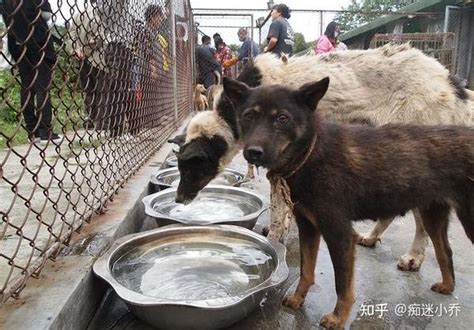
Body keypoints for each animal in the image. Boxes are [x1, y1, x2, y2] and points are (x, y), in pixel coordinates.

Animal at [222, 76, 474, 328]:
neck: (310, 154)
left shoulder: (339, 233)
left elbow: (342, 285)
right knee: (445, 251)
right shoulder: (308, 226)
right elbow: (306, 270)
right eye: (248, 116)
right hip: (433, 215)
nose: (253, 153)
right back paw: (447, 285)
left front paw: (338, 318)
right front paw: (297, 297)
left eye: (282, 118)